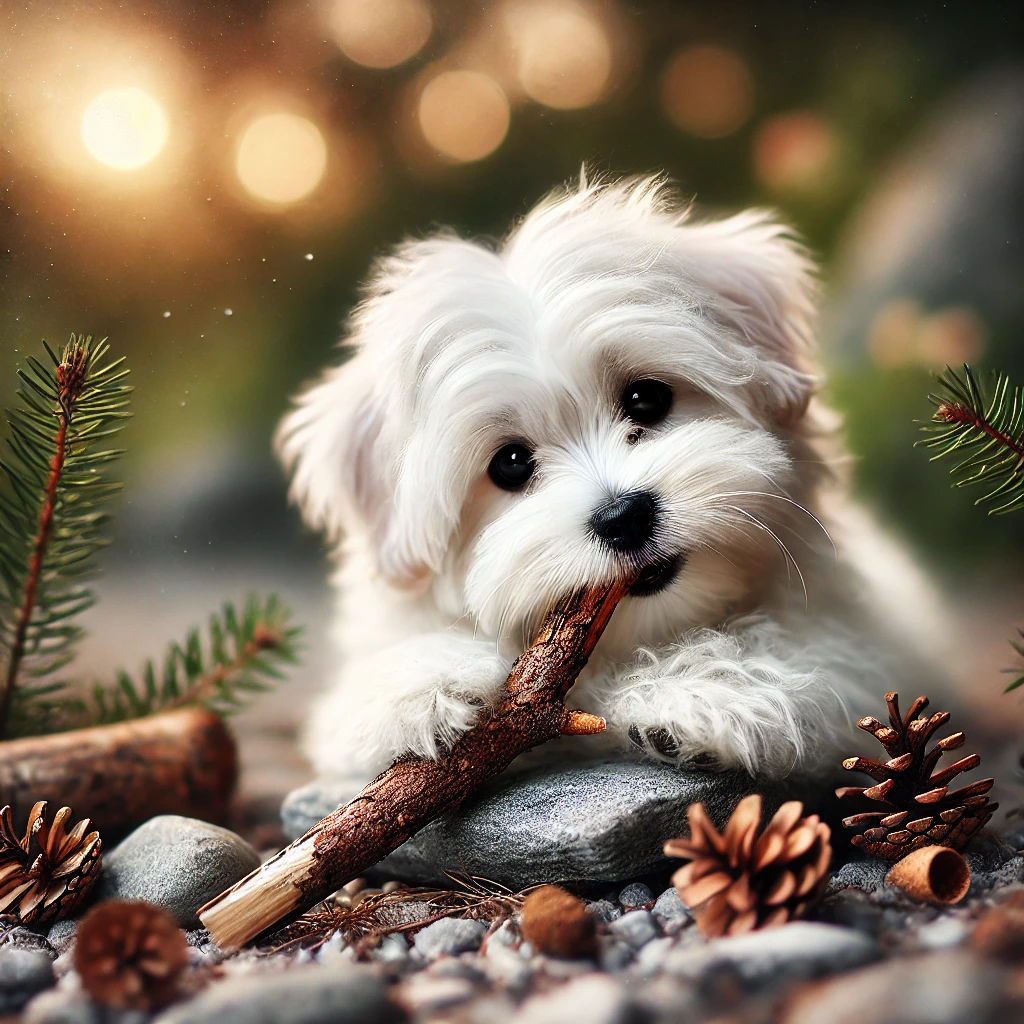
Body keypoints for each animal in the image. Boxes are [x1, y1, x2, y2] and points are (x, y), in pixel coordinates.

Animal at [278, 174, 942, 782]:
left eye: (646, 399)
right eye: (510, 464)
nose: (623, 516)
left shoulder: (870, 636)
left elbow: (826, 660)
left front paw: (706, 687)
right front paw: (423, 687)